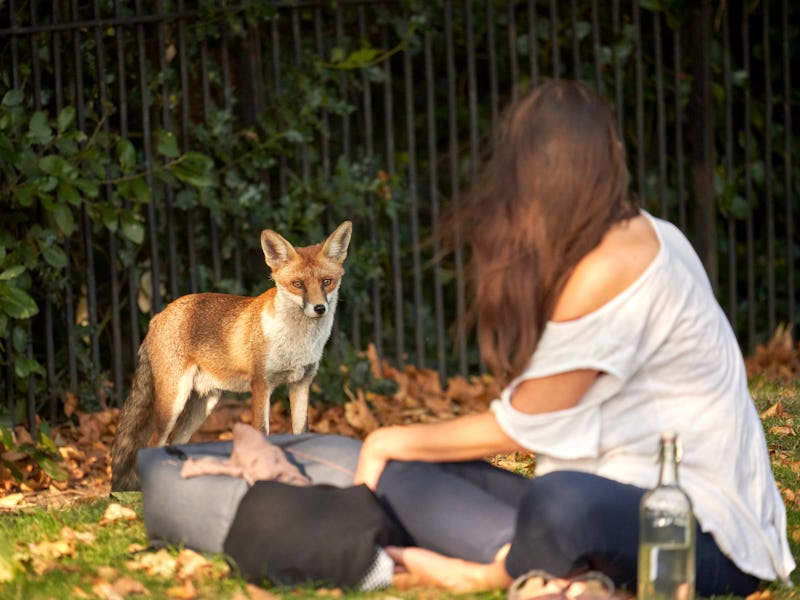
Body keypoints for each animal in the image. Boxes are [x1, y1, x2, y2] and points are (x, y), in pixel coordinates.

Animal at [108, 221, 350, 492]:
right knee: (153, 444)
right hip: (173, 402)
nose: (320, 308)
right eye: (298, 284)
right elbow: (262, 433)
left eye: (327, 281)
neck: (296, 344)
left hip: (205, 404)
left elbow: (302, 433)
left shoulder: (301, 383)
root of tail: (159, 315)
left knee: (176, 442)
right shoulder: (261, 385)